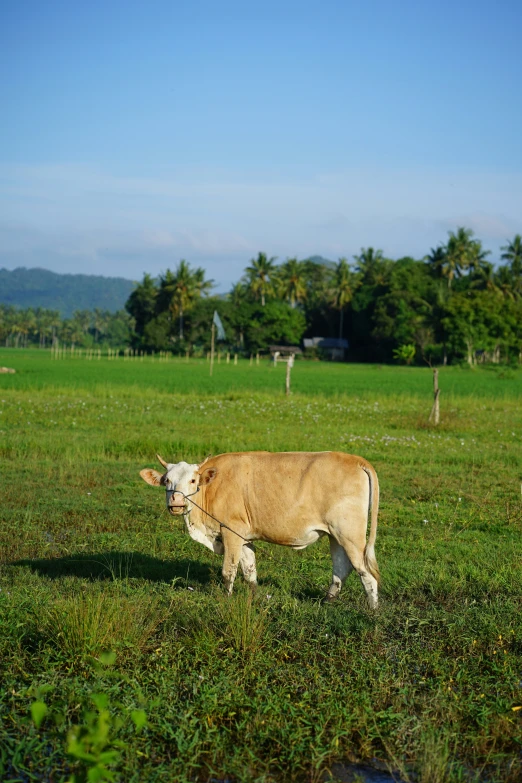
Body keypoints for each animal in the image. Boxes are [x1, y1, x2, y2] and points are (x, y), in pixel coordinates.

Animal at [140, 450, 380, 608]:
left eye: (192, 480)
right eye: (167, 480)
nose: (177, 502)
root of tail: (357, 460)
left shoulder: (231, 531)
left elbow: (229, 570)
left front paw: (227, 600)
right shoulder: (244, 536)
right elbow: (250, 570)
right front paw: (254, 597)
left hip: (350, 534)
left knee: (367, 574)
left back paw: (373, 611)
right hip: (335, 535)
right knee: (341, 568)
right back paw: (328, 600)